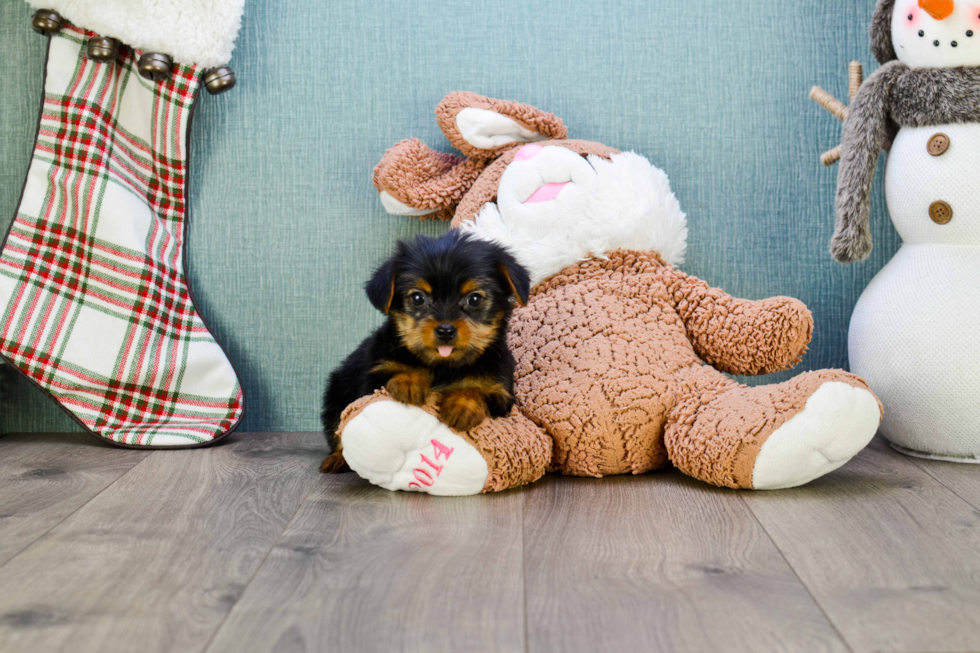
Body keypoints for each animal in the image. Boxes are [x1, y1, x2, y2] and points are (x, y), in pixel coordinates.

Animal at [324, 232, 532, 472]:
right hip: (337, 391)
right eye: (417, 298)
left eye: (475, 299)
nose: (445, 330)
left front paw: (462, 405)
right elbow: (399, 372)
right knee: (337, 426)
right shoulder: (372, 378)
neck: (442, 365)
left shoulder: (500, 393)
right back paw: (338, 459)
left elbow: (475, 391)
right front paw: (410, 382)